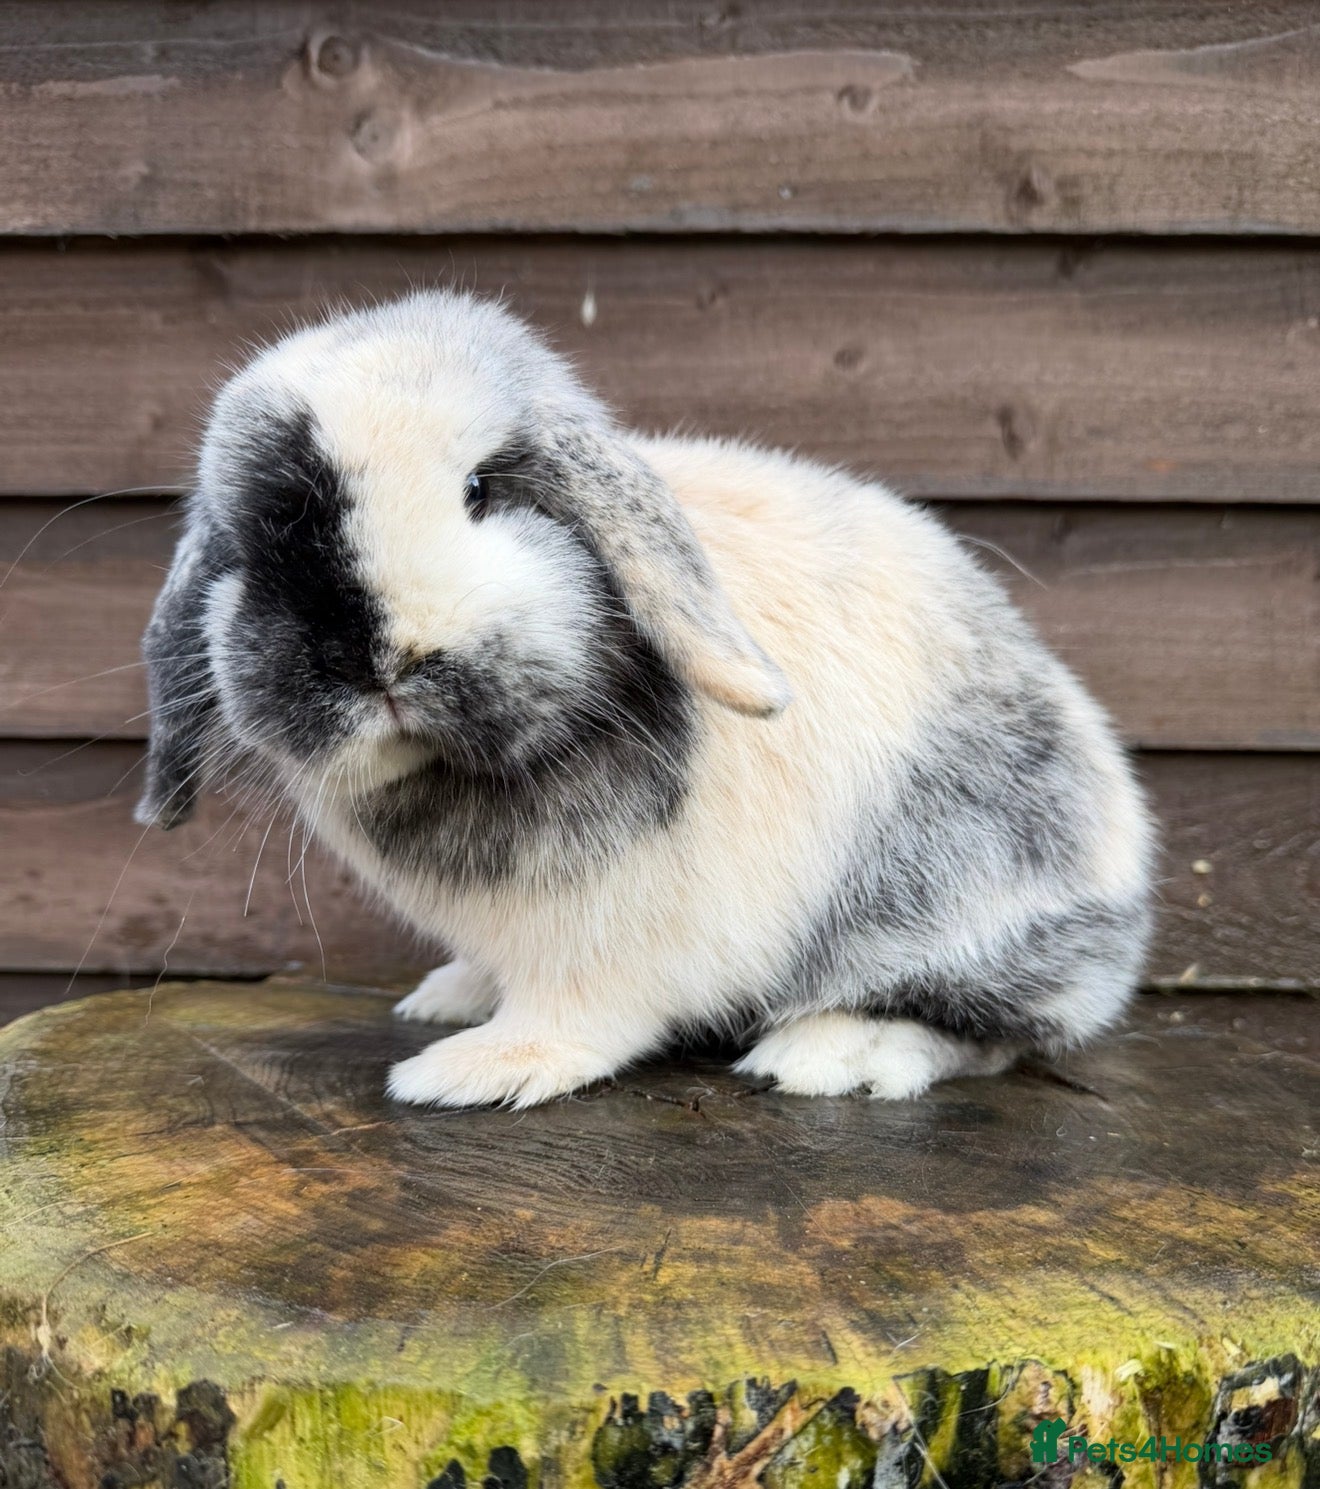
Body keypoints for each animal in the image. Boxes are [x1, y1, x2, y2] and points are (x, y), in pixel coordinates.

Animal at [137, 289, 1153, 1109]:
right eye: (253, 552)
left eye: (479, 489)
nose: (379, 659)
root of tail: (1127, 899)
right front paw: (448, 1000)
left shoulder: (604, 944)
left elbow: (575, 1015)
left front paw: (472, 1070)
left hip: (955, 909)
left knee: (995, 1028)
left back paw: (834, 1054)